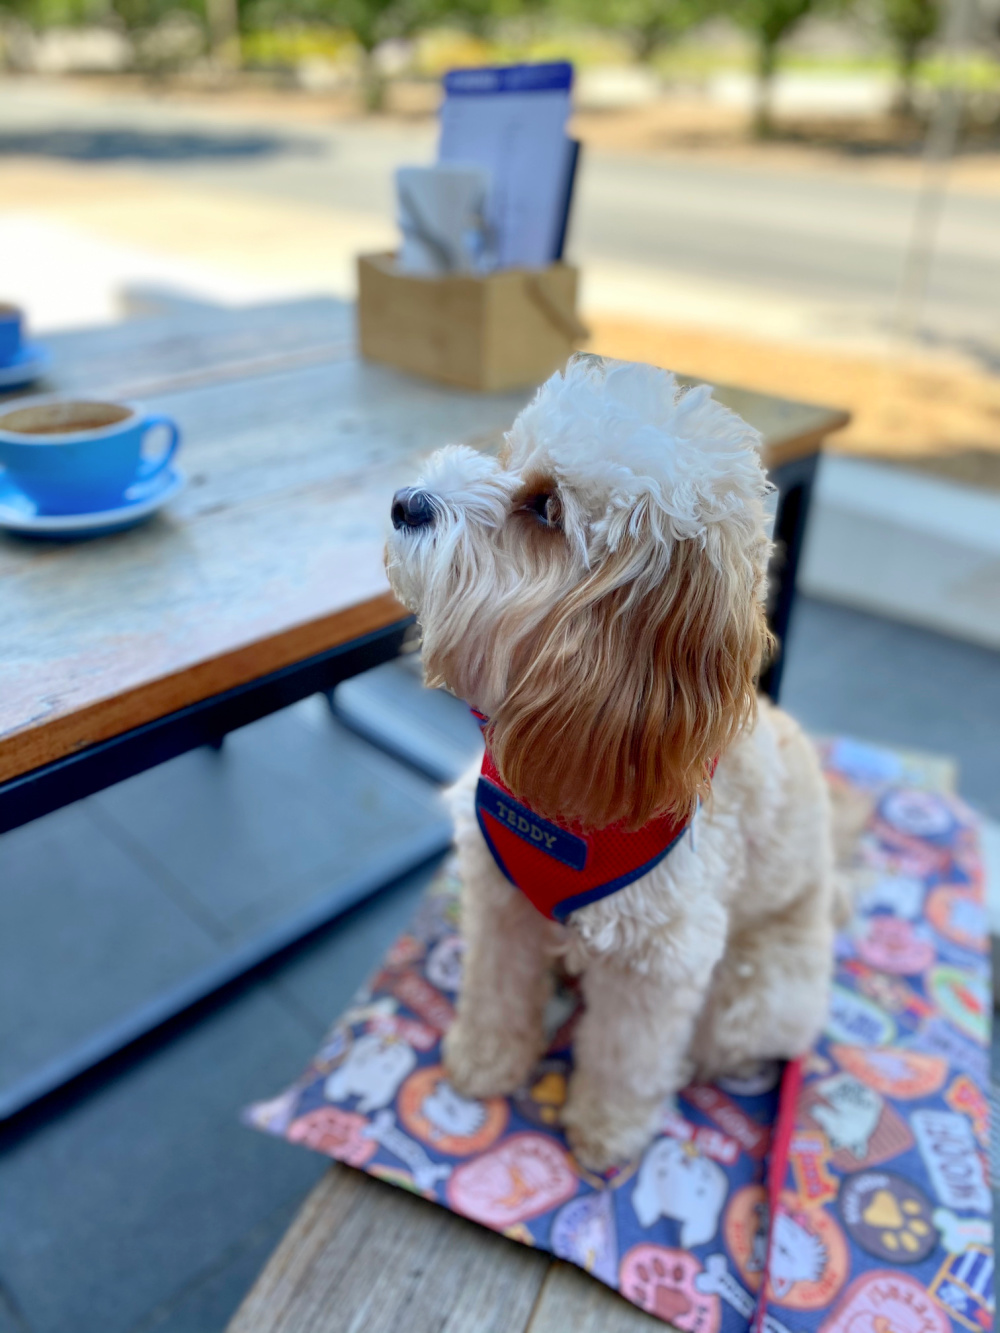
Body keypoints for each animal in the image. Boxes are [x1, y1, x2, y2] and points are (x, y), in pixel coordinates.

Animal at [386, 357, 837, 1178]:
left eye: (544, 508)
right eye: (508, 456)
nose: (407, 501)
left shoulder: (663, 959)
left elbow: (627, 1055)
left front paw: (608, 1129)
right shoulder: (500, 899)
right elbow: (495, 989)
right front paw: (485, 1061)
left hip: (756, 991)